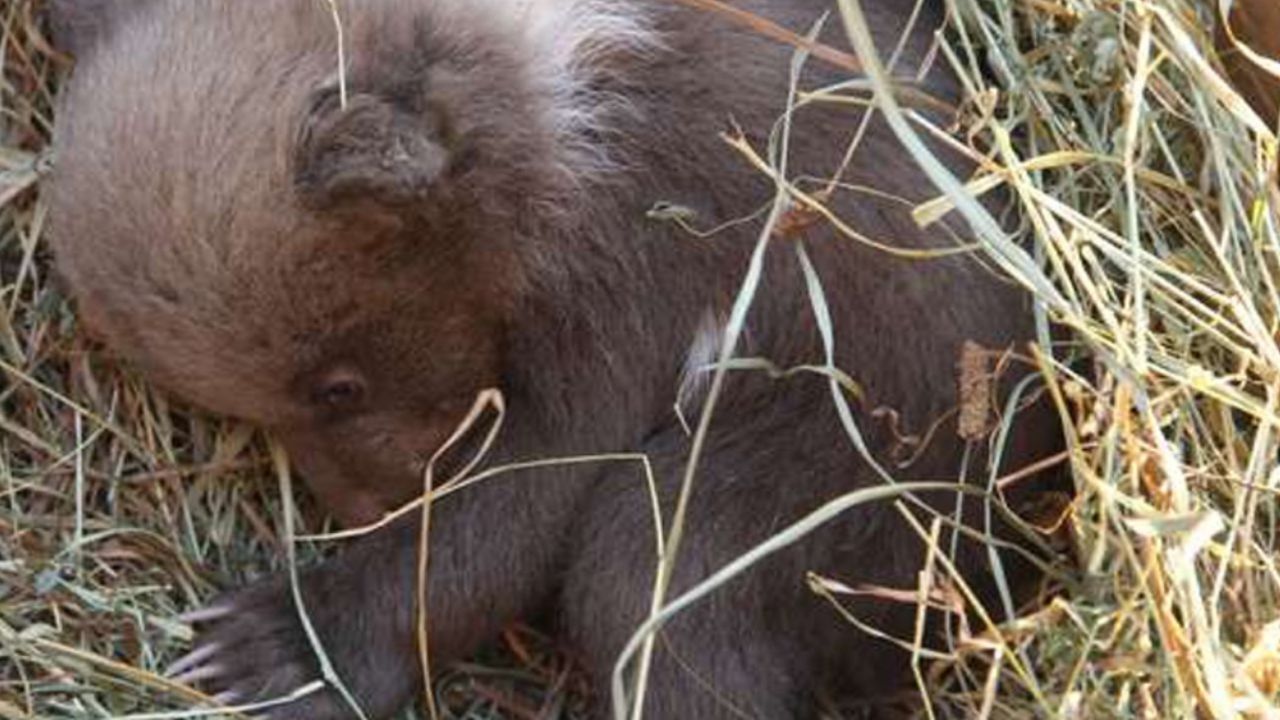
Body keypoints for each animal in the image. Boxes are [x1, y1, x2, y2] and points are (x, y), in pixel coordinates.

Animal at [43, 0, 1063, 718]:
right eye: (256, 410)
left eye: (335, 384)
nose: (375, 501)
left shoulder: (637, 252)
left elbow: (540, 476)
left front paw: (278, 644)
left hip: (864, 447)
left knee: (665, 577)